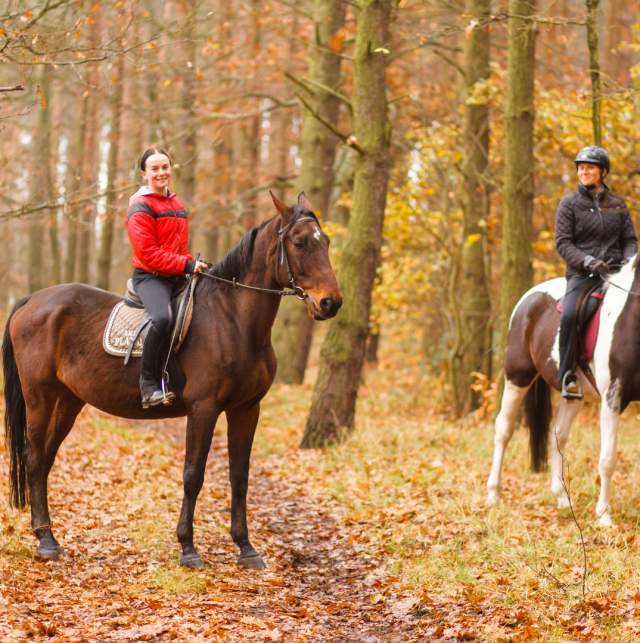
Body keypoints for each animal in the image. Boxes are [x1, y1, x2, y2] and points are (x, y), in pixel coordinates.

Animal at [2, 192, 342, 568]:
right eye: (299, 242)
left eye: (325, 242)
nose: (331, 303)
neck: (233, 320)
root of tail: (32, 300)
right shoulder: (203, 408)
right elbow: (193, 475)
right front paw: (188, 548)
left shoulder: (247, 409)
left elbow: (240, 477)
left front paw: (246, 547)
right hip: (40, 398)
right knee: (34, 458)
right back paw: (45, 541)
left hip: (68, 400)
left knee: (45, 459)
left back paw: (47, 535)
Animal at [488, 258, 636, 528]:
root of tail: (529, 297)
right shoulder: (612, 398)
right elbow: (608, 460)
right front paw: (604, 516)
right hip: (517, 376)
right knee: (504, 429)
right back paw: (493, 494)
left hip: (573, 395)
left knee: (558, 434)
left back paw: (561, 499)